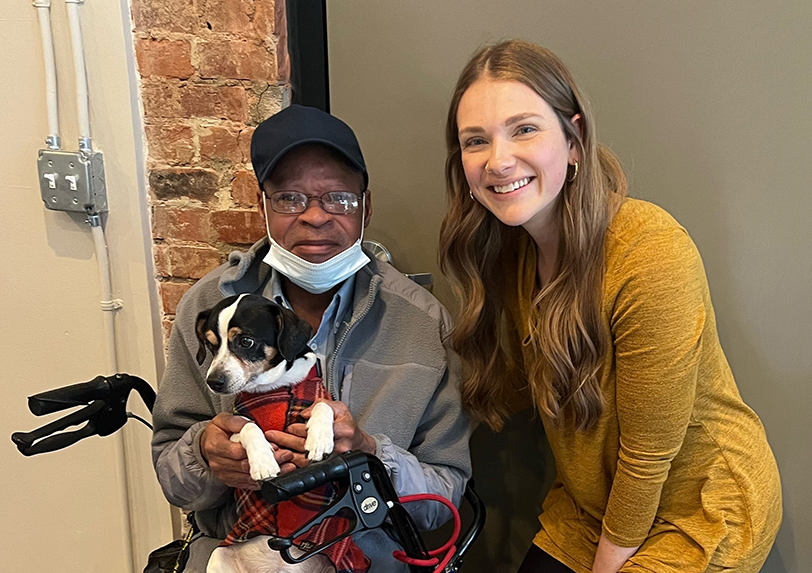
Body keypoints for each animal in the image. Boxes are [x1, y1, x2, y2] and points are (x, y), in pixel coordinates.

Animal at [197, 294, 352, 572]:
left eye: (246, 341)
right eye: (210, 345)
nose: (213, 382)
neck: (273, 387)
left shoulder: (322, 402)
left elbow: (323, 405)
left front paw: (319, 439)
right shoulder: (234, 425)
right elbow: (249, 426)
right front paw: (263, 462)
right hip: (218, 558)